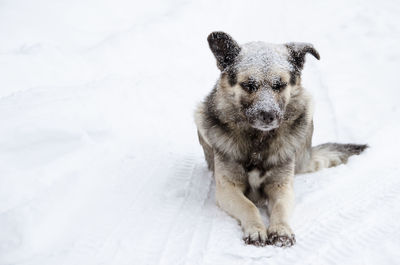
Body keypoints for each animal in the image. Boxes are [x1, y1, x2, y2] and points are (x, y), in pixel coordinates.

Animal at [195, 32, 368, 246]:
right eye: (249, 85)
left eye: (279, 85)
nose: (268, 115)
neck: (258, 143)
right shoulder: (228, 188)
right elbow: (249, 206)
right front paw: (256, 229)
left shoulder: (282, 187)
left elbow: (280, 208)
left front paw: (281, 230)